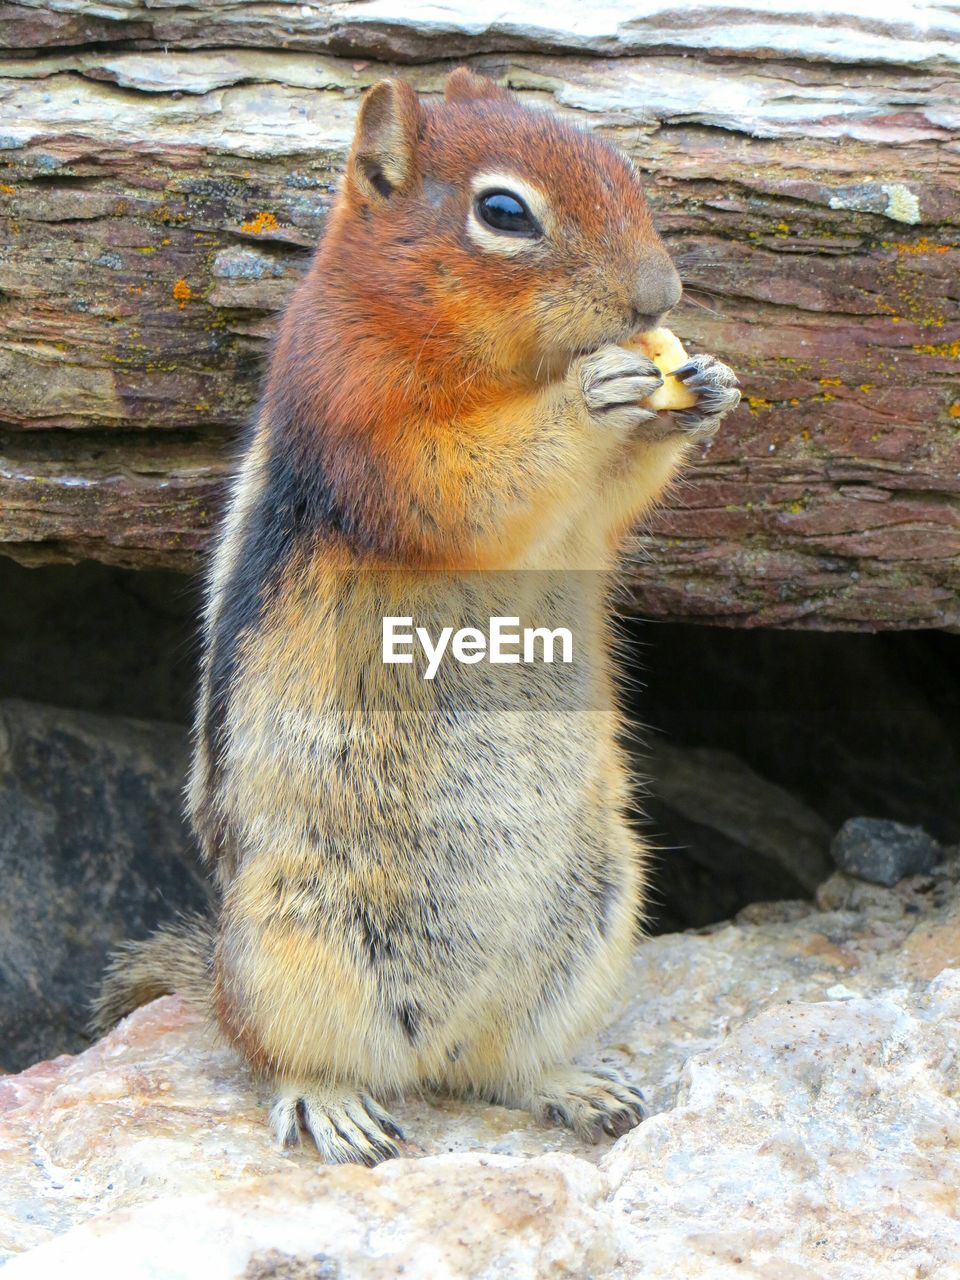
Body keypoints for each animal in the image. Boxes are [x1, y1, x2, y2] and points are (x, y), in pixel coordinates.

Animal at [96, 72, 742, 1172]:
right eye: (504, 212)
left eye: (624, 168)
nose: (661, 300)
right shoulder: (363, 411)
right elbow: (466, 483)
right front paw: (600, 391)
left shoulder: (586, 517)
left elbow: (611, 501)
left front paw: (703, 386)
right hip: (296, 942)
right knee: (282, 1053)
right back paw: (335, 1106)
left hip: (598, 908)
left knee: (493, 1066)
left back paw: (570, 1082)